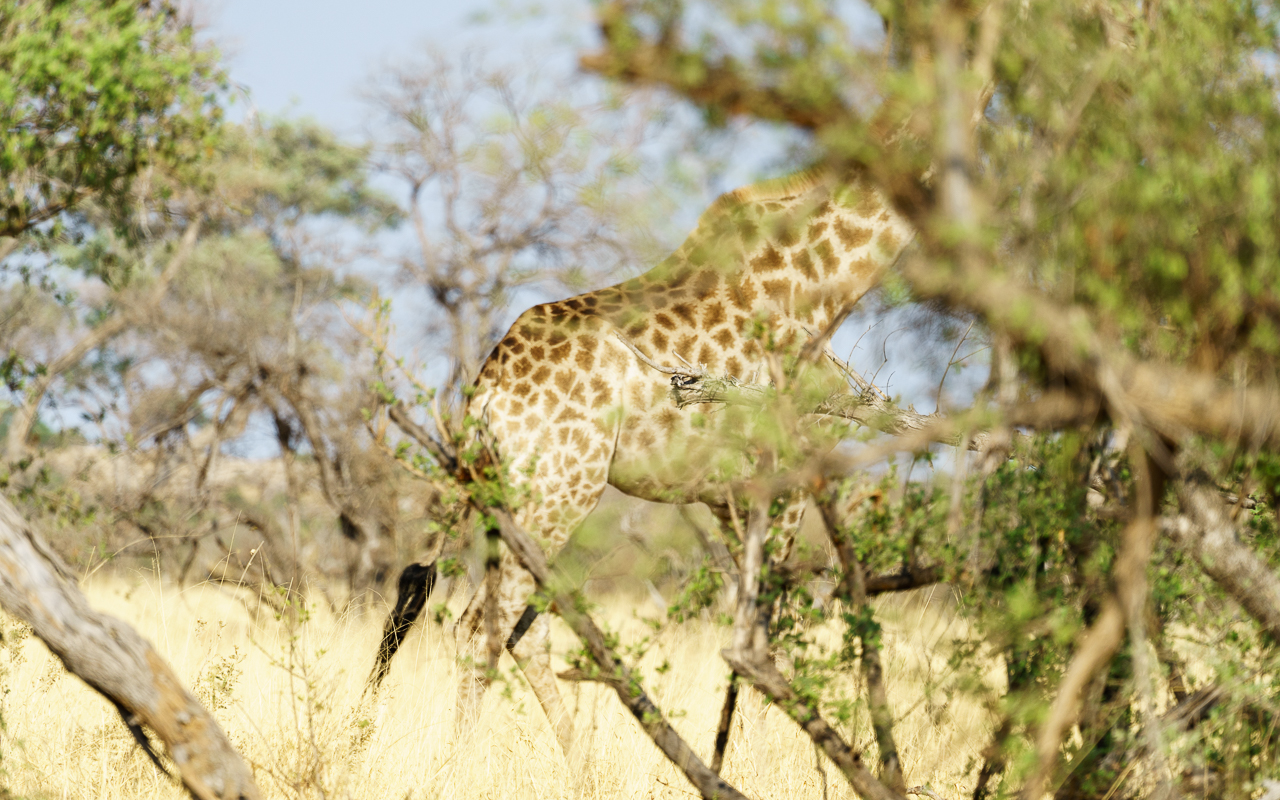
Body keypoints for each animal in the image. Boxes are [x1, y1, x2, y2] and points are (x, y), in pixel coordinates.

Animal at [375, 167, 913, 754]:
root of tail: (484, 391)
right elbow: (770, 628)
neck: (823, 279)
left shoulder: (729, 495)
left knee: (522, 629)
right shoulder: (787, 475)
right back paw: (464, 761)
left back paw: (581, 760)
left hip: (511, 501)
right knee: (481, 628)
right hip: (561, 492)